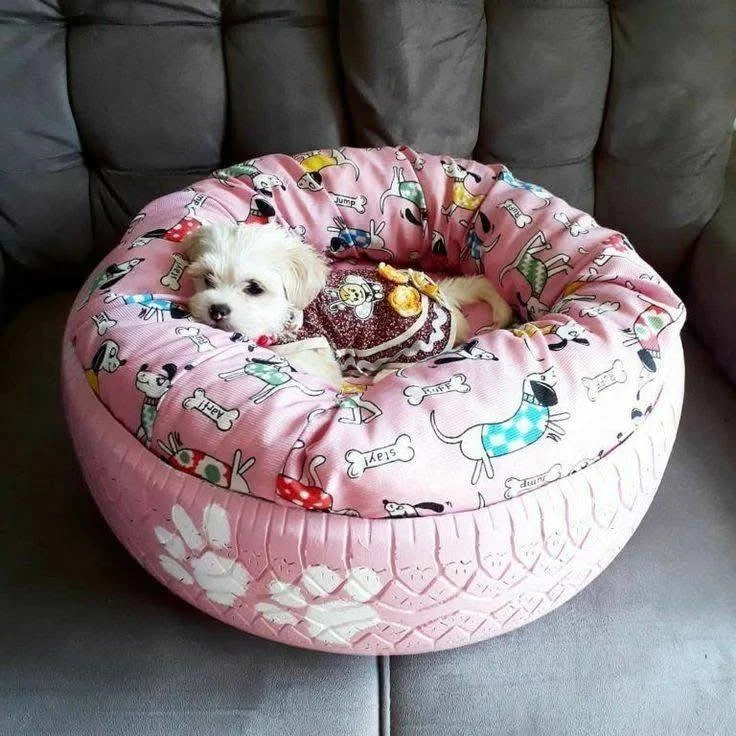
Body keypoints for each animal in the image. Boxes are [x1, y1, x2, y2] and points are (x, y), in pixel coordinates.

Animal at [184, 223, 512, 386]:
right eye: (207, 279)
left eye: (254, 288)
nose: (216, 310)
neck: (288, 317)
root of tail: (438, 293)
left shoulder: (314, 353)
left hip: (410, 352)